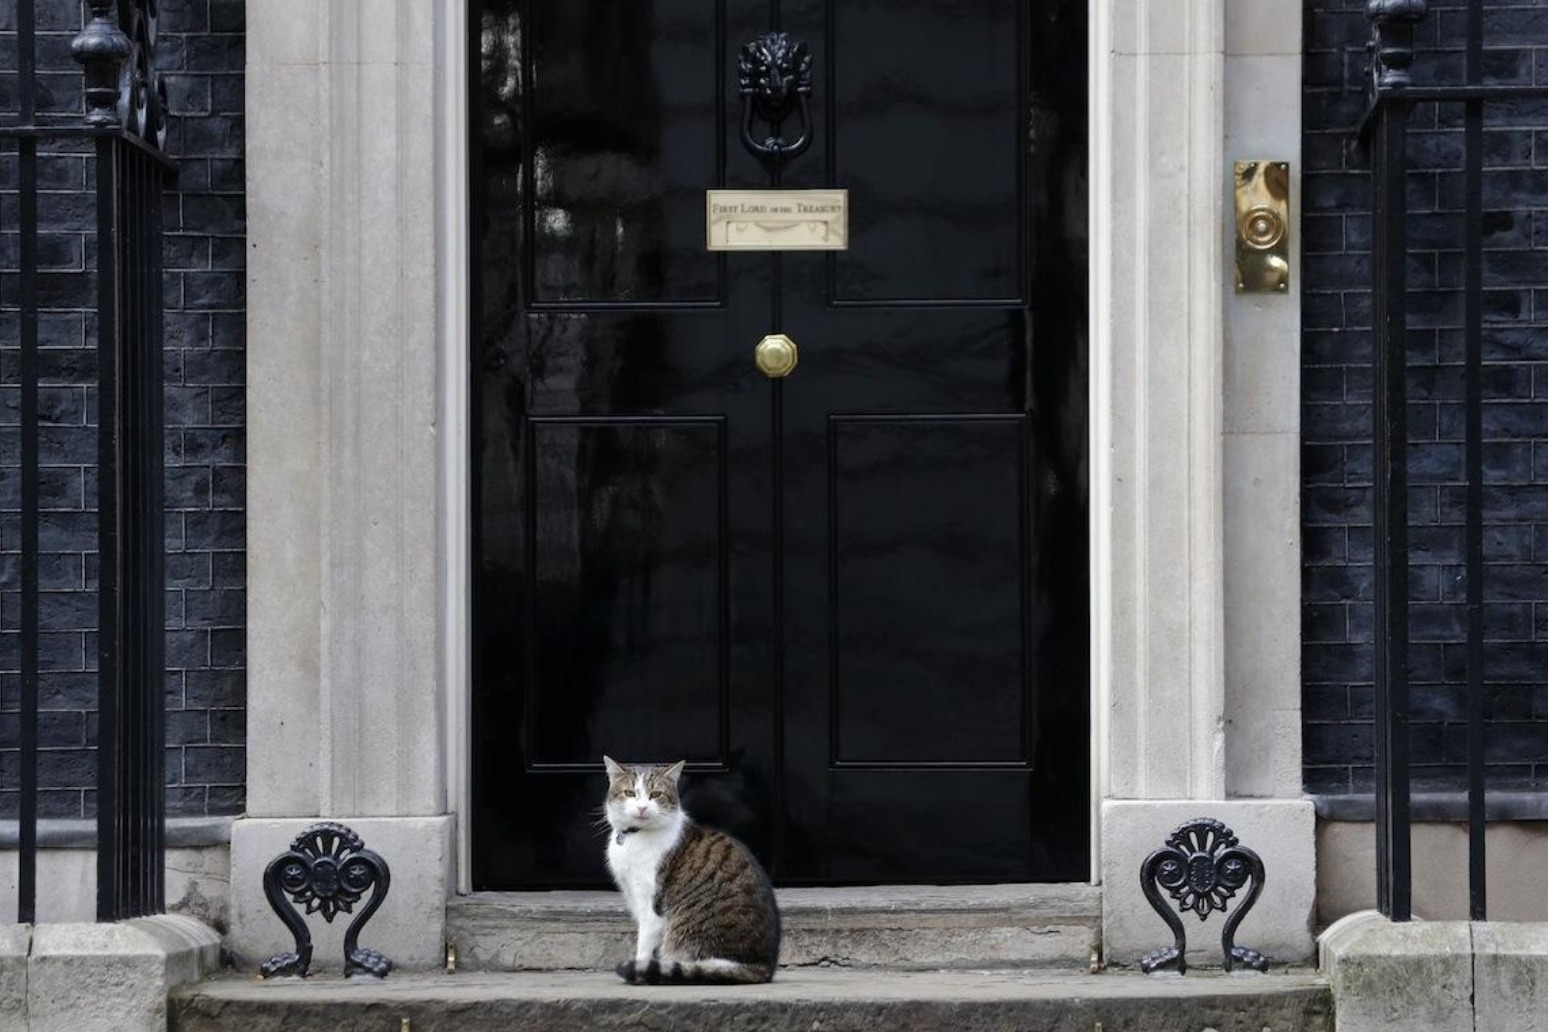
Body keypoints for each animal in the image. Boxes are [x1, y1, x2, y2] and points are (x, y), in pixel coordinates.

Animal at [597, 758, 780, 984]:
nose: (642, 807)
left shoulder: (650, 901)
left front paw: (640, 967)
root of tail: (764, 966)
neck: (634, 836)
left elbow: (645, 941)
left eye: (656, 794)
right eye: (630, 793)